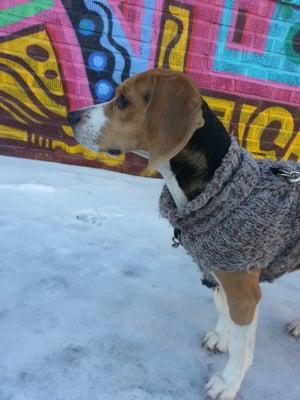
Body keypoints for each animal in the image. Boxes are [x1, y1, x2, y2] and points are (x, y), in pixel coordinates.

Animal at [68, 69, 300, 400]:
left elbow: (241, 347)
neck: (218, 187)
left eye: (123, 100)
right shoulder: (214, 272)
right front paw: (221, 337)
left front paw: (228, 382)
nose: (71, 116)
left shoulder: (244, 292)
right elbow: (223, 312)